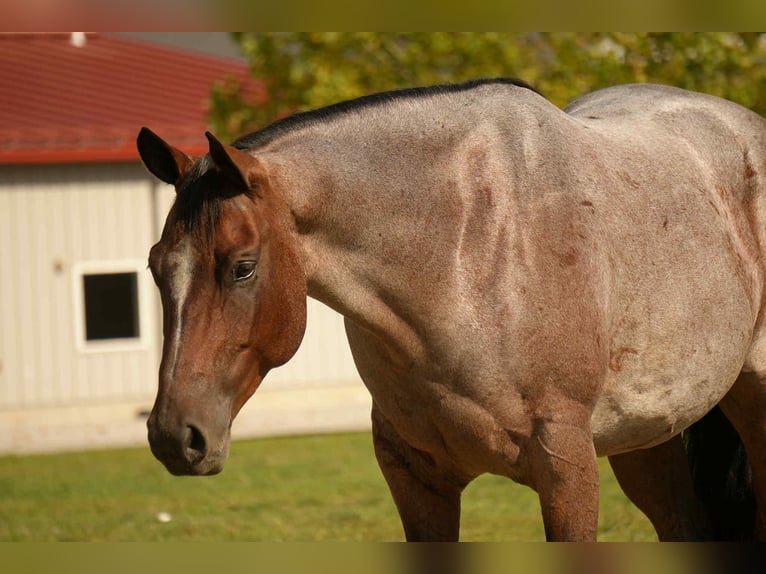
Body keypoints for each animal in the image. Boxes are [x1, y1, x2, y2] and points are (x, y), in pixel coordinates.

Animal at [136, 78, 766, 541]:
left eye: (242, 267)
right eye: (156, 266)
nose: (174, 436)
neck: (464, 254)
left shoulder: (567, 469)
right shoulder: (417, 481)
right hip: (646, 436)